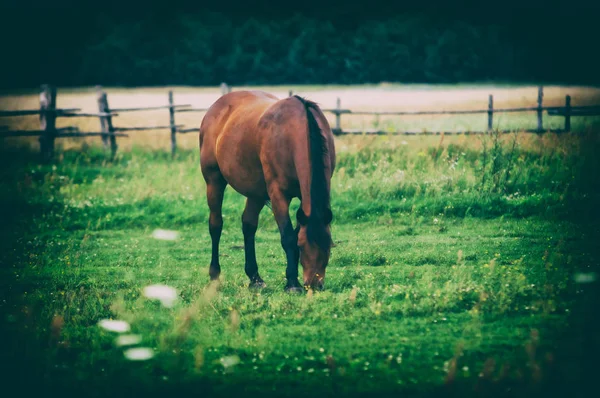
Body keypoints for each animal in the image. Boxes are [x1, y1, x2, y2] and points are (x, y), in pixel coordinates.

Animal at [199, 91, 336, 292]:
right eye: (303, 246)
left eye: (329, 246)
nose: (314, 284)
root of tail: (216, 107)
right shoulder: (278, 194)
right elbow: (288, 236)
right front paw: (292, 283)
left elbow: (293, 231)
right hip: (214, 181)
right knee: (215, 225)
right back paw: (215, 275)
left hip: (255, 192)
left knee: (248, 225)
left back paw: (255, 278)